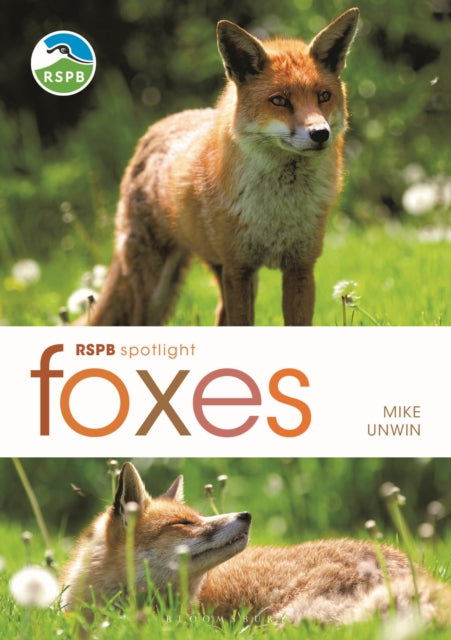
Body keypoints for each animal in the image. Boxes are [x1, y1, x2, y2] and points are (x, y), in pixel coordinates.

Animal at [85, 9, 360, 326]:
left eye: (323, 96)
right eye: (280, 100)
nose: (320, 133)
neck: (277, 208)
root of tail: (155, 129)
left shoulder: (300, 267)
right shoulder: (239, 267)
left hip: (221, 273)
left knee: (219, 317)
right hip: (158, 289)